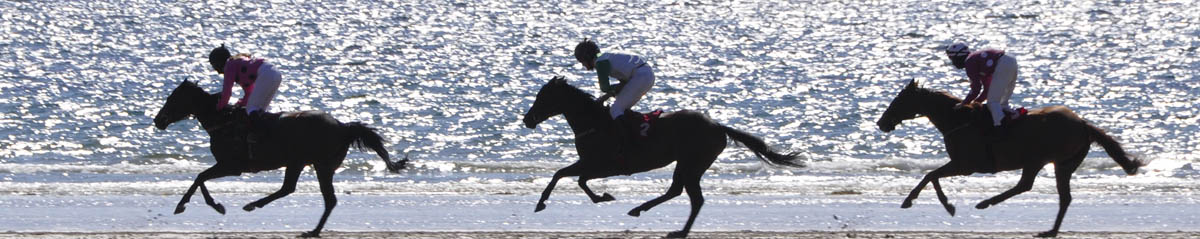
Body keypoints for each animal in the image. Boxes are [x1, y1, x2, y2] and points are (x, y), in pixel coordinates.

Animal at [152, 79, 405, 236]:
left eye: (173, 99)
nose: (157, 120)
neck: (223, 122)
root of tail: (343, 126)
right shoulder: (227, 165)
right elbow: (201, 178)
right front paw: (209, 205)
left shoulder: (232, 165)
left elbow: (200, 177)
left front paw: (192, 205)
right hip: (303, 163)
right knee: (296, 190)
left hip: (317, 165)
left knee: (320, 197)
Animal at [520, 75, 801, 236]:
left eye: (543, 97)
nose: (527, 120)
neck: (595, 123)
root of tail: (718, 126)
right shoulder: (591, 163)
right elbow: (568, 176)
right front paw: (598, 196)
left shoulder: (602, 164)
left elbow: (571, 177)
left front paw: (546, 202)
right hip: (687, 164)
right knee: (678, 191)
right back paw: (643, 211)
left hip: (692, 163)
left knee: (692, 197)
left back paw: (673, 228)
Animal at [873, 79, 1142, 236]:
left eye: (898, 100)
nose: (881, 123)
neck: (957, 120)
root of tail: (1083, 124)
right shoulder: (961, 164)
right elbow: (933, 176)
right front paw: (944, 204)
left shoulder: (966, 165)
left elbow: (931, 175)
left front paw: (919, 201)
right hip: (1063, 163)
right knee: (1058, 195)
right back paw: (1049, 230)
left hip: (1040, 159)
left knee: (1028, 185)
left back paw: (986, 203)